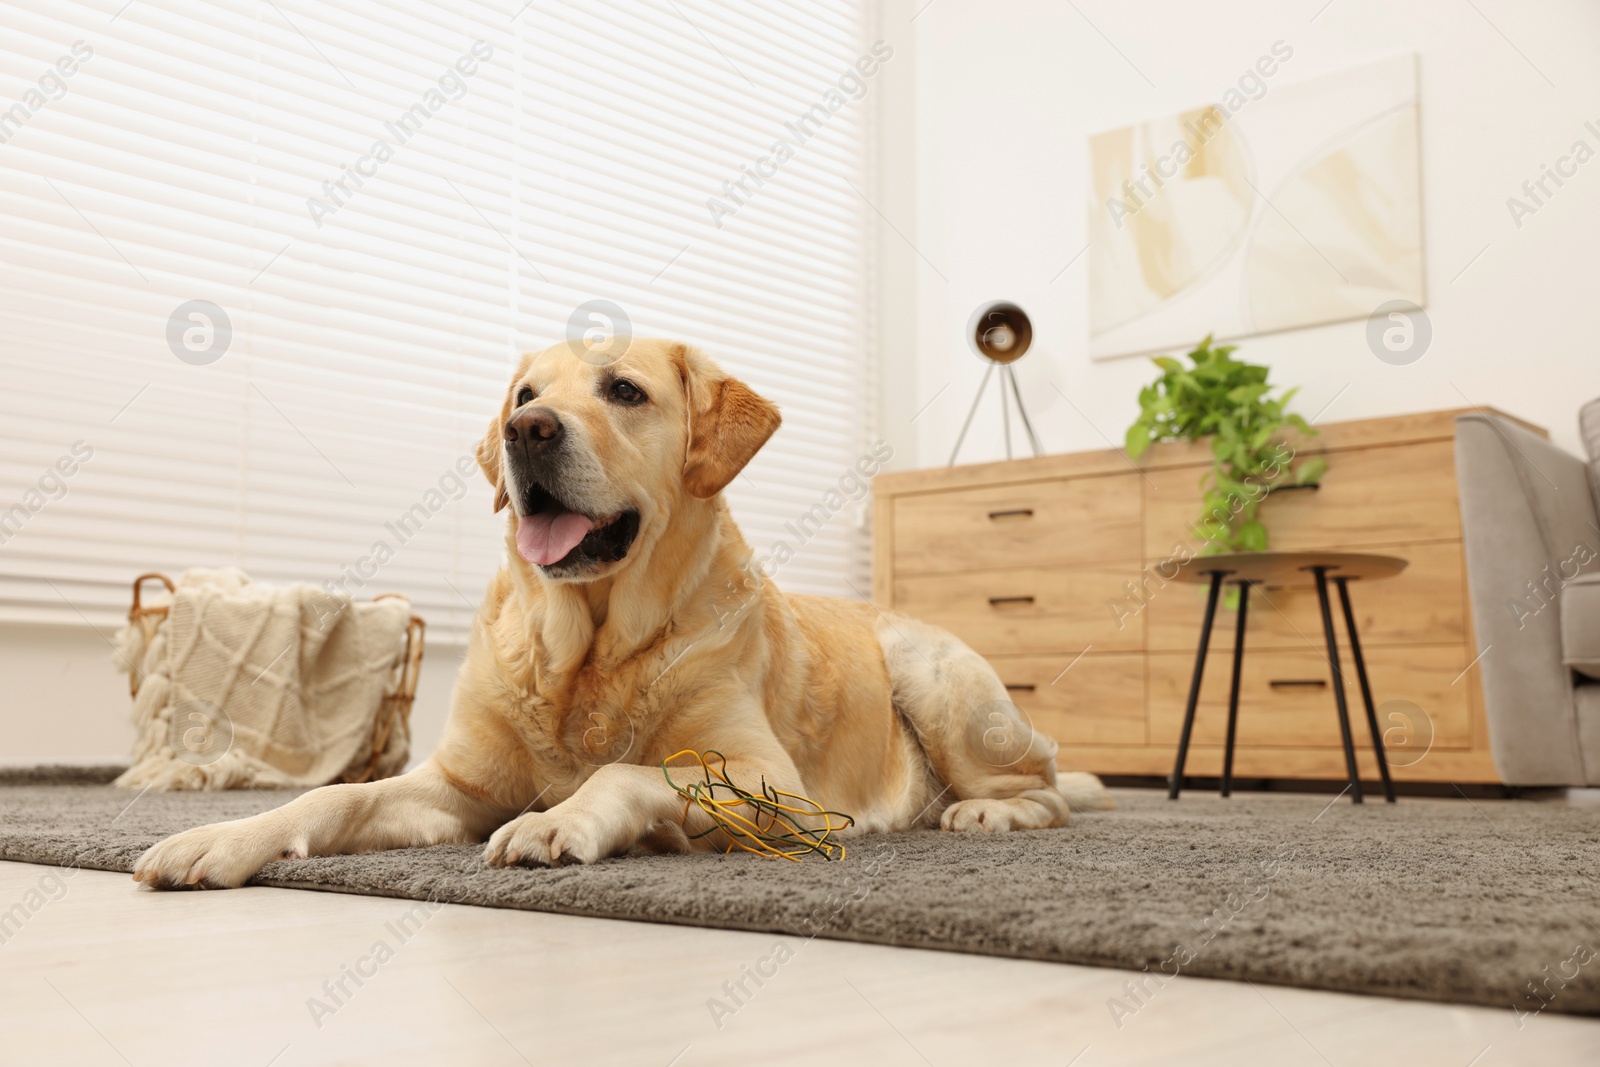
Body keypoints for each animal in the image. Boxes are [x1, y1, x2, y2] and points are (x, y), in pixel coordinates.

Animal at [131, 337, 1107, 889]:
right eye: (525, 396)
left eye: (625, 392)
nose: (526, 433)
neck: (588, 650)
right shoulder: (454, 787)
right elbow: (333, 796)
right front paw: (221, 836)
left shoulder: (770, 777)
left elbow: (627, 770)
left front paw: (558, 819)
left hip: (931, 673)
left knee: (1049, 789)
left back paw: (984, 814)